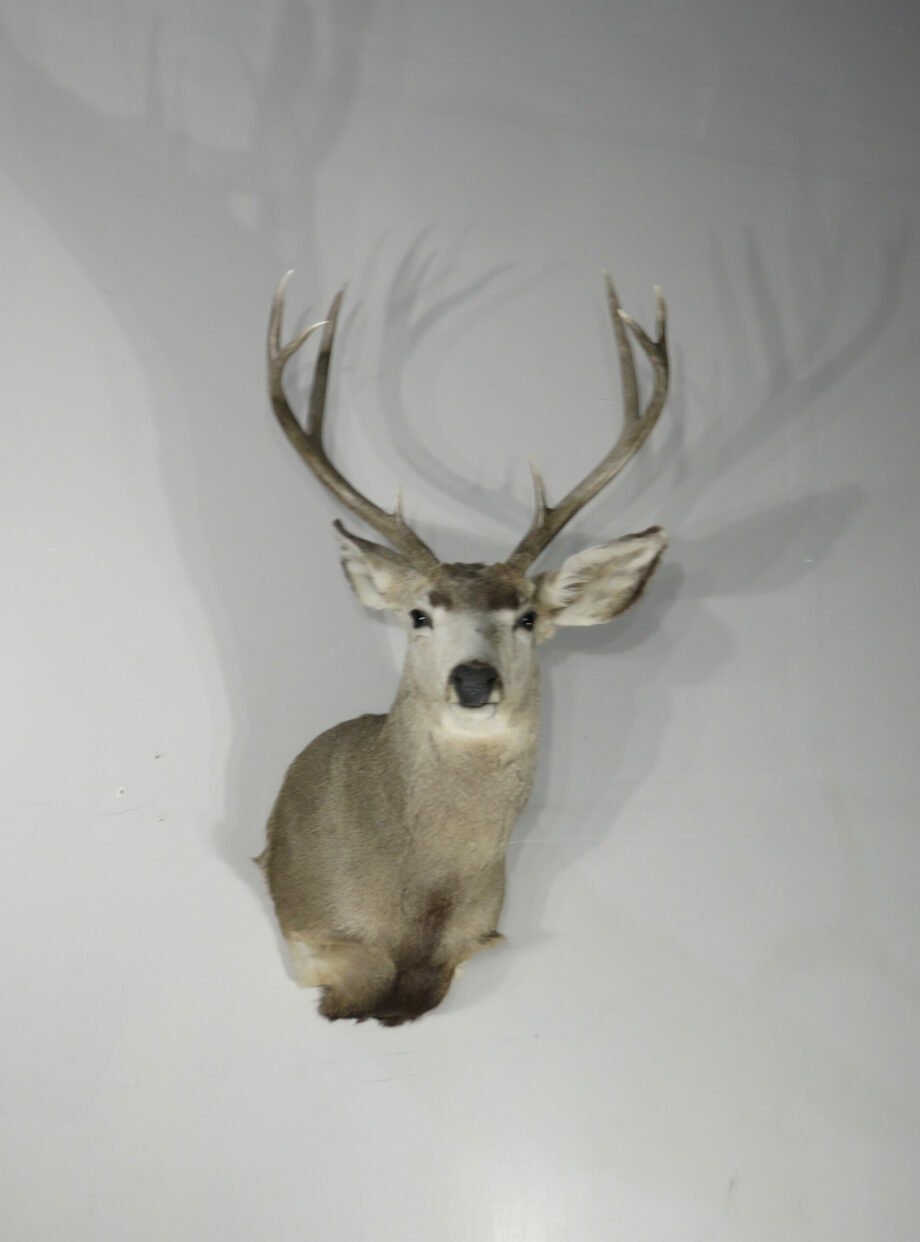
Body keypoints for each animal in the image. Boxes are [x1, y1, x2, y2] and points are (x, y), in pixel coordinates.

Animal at [257, 268, 670, 1026]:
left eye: (528, 617)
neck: (418, 902)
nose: (473, 679)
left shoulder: (477, 937)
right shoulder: (310, 927)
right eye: (420, 614)